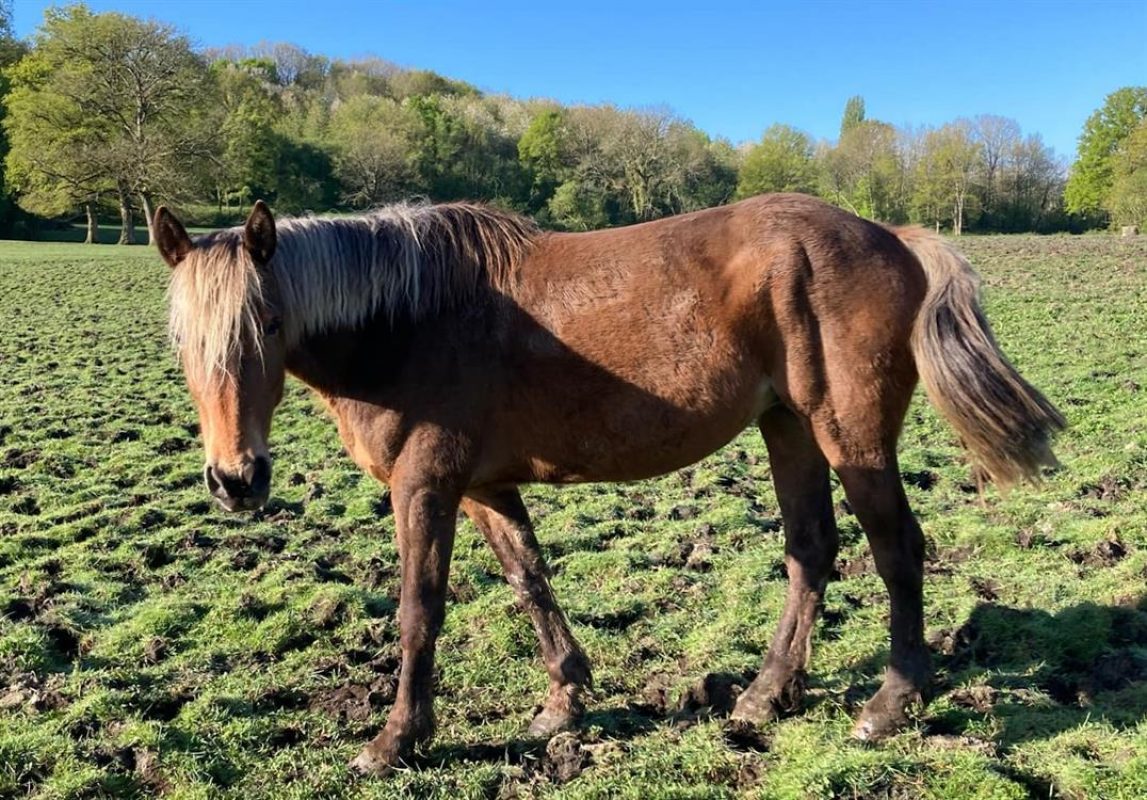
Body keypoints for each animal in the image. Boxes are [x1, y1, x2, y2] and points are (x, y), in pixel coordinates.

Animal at [153, 193, 1064, 775]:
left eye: (269, 323)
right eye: (182, 339)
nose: (236, 480)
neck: (407, 322)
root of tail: (895, 237)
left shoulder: (426, 486)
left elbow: (418, 611)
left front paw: (395, 741)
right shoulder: (483, 487)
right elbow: (529, 579)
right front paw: (564, 699)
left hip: (852, 436)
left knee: (895, 548)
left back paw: (888, 702)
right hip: (788, 427)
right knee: (810, 550)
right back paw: (765, 694)